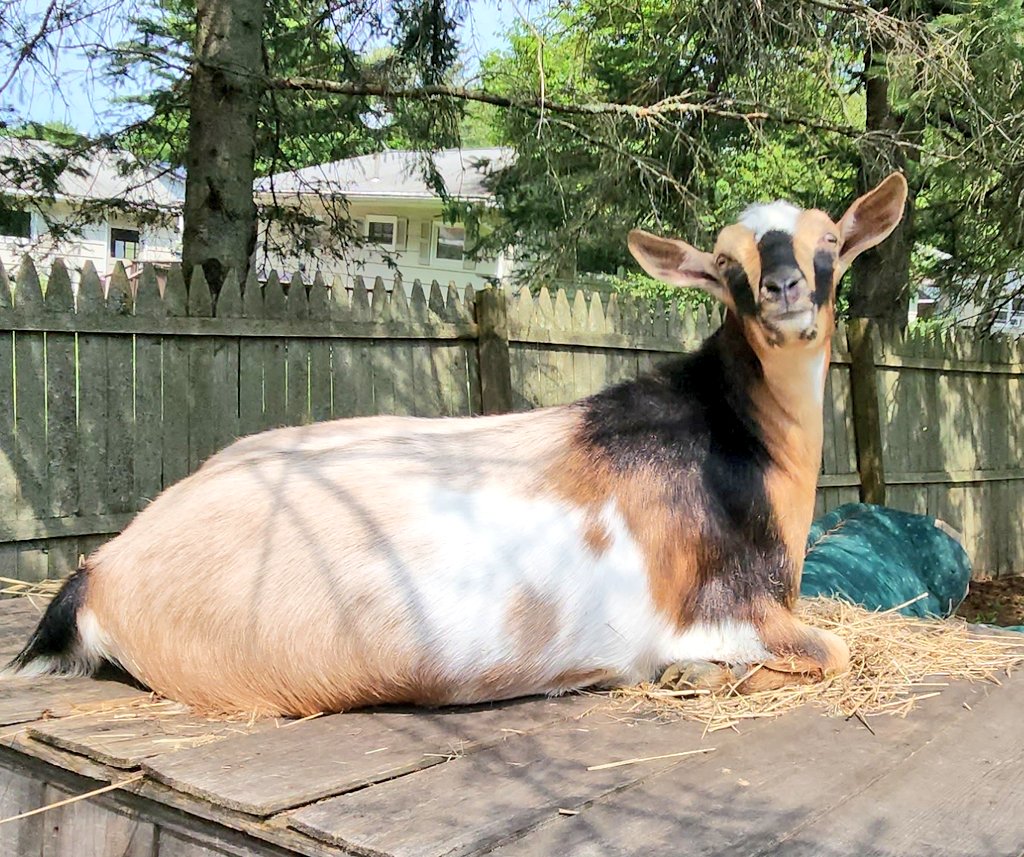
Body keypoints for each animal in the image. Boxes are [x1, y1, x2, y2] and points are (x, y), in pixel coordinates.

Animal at [6, 173, 908, 716]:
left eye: (829, 244)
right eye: (725, 264)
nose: (785, 291)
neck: (722, 433)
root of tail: (103, 568)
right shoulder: (727, 610)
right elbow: (834, 648)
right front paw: (696, 674)